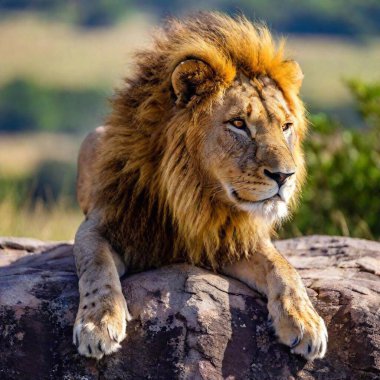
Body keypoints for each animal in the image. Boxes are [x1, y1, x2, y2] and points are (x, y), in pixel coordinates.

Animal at [73, 11, 326, 360]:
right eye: (238, 124)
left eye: (286, 126)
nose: (285, 176)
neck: (193, 195)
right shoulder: (102, 224)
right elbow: (97, 266)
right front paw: (98, 323)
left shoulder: (232, 239)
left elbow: (284, 268)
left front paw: (304, 320)